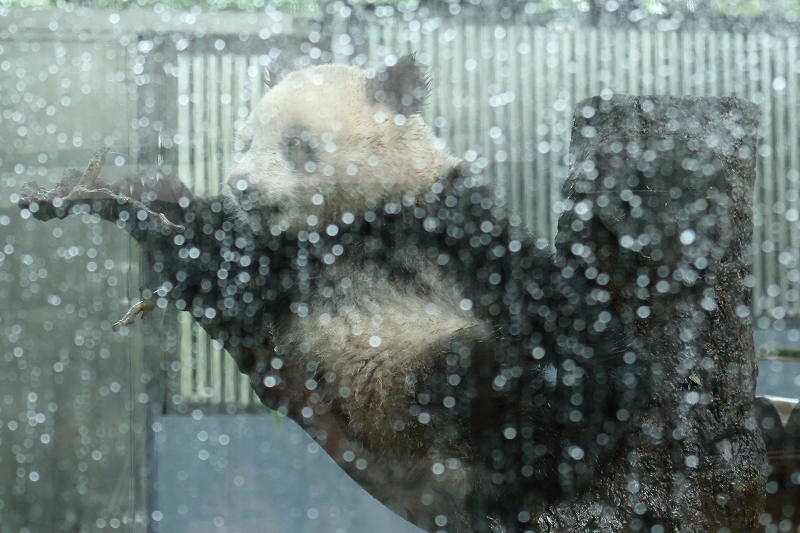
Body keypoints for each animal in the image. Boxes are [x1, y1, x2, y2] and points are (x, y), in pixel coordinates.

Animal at [172, 55, 648, 532]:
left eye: (295, 141)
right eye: (245, 143)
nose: (241, 185)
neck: (354, 220)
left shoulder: (441, 213)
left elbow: (527, 281)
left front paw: (610, 363)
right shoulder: (288, 261)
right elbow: (235, 286)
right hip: (392, 390)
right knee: (466, 383)